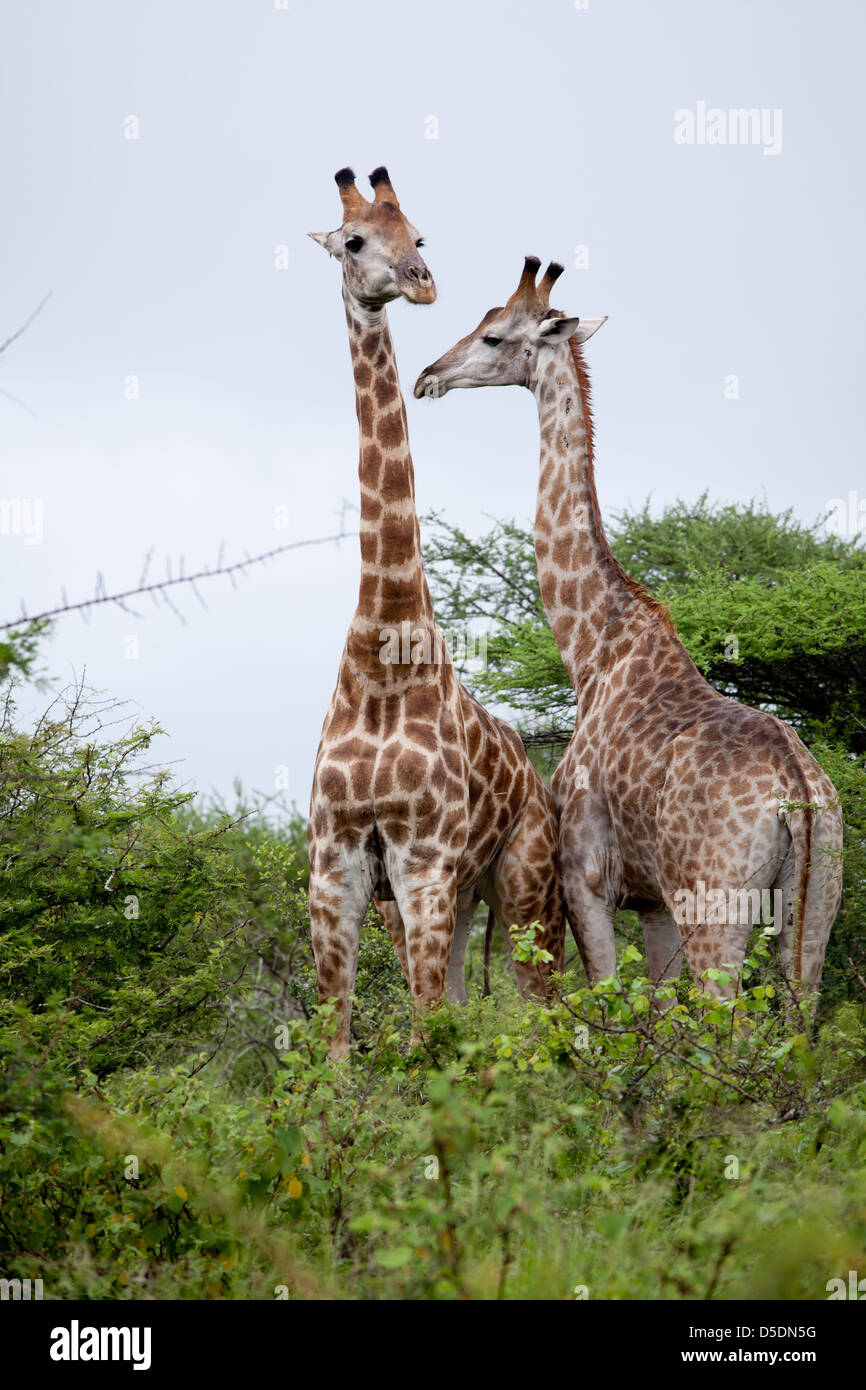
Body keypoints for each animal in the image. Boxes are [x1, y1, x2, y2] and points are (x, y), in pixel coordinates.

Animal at [308, 170, 567, 1050]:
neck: (383, 653)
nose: (419, 284)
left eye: (420, 236)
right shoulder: (338, 867)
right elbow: (337, 1045)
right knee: (458, 1001)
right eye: (354, 241)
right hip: (446, 898)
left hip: (521, 884)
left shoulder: (422, 858)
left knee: (540, 1009)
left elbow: (423, 1037)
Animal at [417, 255, 845, 1006]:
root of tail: (800, 792)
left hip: (717, 904)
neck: (592, 651)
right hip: (818, 902)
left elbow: (607, 1002)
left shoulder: (586, 878)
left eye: (493, 335)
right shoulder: (651, 902)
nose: (428, 376)